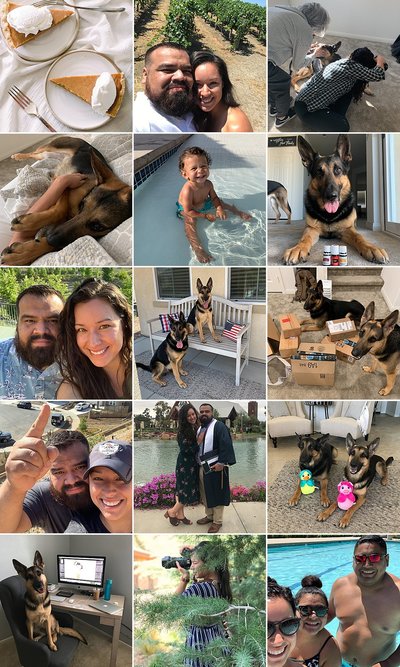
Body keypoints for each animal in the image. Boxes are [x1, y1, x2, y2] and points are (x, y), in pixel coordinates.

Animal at [0, 138, 132, 266]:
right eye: (82, 205)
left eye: (97, 226)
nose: (50, 238)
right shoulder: (66, 182)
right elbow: (61, 210)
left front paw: (26, 252)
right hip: (49, 148)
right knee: (34, 152)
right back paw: (17, 156)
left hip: (46, 156)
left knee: (36, 155)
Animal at [282, 135, 390, 266]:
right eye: (319, 172)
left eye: (338, 170)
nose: (331, 196)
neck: (330, 216)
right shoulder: (311, 229)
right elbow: (304, 239)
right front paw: (297, 248)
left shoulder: (348, 230)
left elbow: (359, 237)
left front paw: (371, 248)